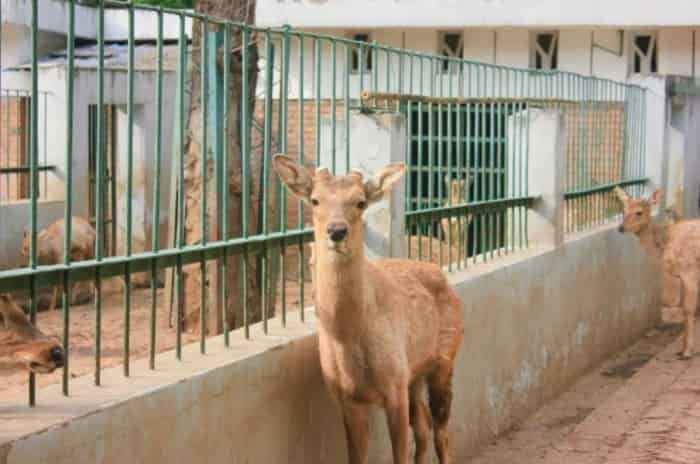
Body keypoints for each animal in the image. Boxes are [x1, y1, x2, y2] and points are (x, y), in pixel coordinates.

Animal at [274, 155, 464, 464]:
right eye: (315, 199)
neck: (348, 339)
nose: (336, 231)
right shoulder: (348, 398)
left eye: (360, 201)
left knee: (441, 432)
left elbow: (400, 454)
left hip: (444, 359)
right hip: (414, 373)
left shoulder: (394, 387)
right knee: (423, 427)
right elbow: (357, 457)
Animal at [612, 188, 700, 358]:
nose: (621, 228)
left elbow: (688, 309)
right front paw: (682, 349)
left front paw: (687, 351)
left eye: (639, 212)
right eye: (623, 210)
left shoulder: (689, 271)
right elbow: (684, 308)